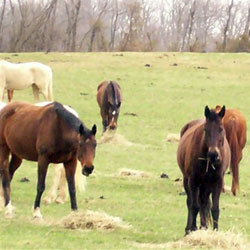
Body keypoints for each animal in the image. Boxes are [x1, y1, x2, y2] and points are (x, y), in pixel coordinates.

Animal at [177, 106, 231, 234]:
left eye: (221, 129)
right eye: (206, 129)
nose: (213, 154)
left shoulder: (217, 182)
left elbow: (215, 209)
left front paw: (215, 231)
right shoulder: (193, 181)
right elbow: (194, 206)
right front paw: (192, 229)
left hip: (206, 185)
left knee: (204, 202)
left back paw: (204, 226)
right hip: (188, 180)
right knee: (191, 202)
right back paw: (189, 228)